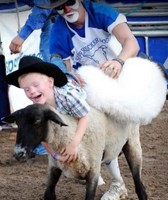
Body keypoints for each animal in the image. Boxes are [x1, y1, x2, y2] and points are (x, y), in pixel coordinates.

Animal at [2, 103, 147, 200]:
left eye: (37, 120)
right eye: (17, 123)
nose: (18, 153)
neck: (71, 133)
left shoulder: (93, 172)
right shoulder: (54, 166)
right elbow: (48, 194)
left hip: (133, 143)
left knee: (139, 184)